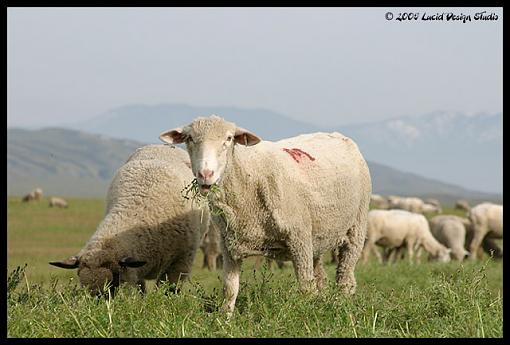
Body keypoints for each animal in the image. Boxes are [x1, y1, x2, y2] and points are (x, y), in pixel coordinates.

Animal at [47, 145, 207, 296]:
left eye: (114, 279)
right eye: (81, 281)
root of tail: (162, 146)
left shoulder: (180, 263)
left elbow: (169, 291)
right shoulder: (136, 269)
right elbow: (140, 289)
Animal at [159, 114, 370, 314]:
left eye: (229, 138)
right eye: (189, 138)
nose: (205, 174)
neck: (247, 175)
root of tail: (338, 135)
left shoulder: (299, 237)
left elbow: (305, 287)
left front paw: (308, 315)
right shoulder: (229, 243)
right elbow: (229, 289)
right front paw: (224, 319)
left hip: (356, 227)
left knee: (345, 277)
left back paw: (342, 305)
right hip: (317, 236)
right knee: (321, 277)